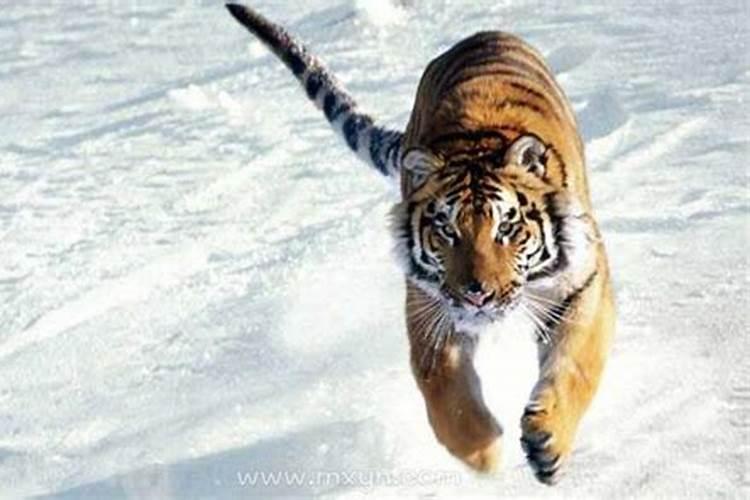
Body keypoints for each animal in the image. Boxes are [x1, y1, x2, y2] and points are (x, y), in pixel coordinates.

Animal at [226, 3, 615, 485]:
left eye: (507, 228)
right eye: (447, 230)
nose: (478, 295)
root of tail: (481, 33)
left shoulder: (583, 284)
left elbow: (575, 366)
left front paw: (548, 443)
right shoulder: (428, 305)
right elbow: (444, 392)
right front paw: (483, 454)